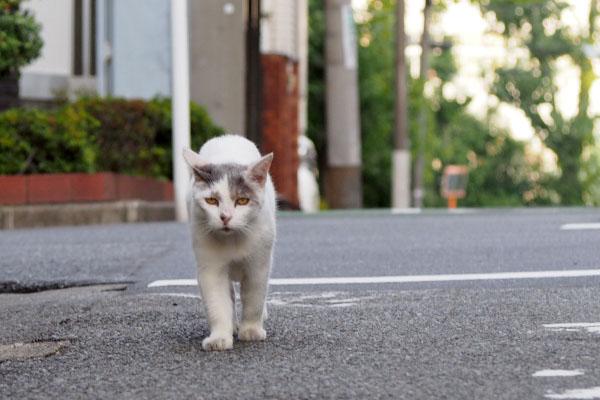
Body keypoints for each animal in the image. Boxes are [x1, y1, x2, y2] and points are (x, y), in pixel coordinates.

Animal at [183, 134, 276, 350]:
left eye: (242, 201)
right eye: (211, 200)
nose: (225, 217)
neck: (233, 240)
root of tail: (227, 137)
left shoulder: (258, 266)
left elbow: (254, 299)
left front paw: (251, 331)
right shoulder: (210, 268)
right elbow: (217, 304)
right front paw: (219, 338)